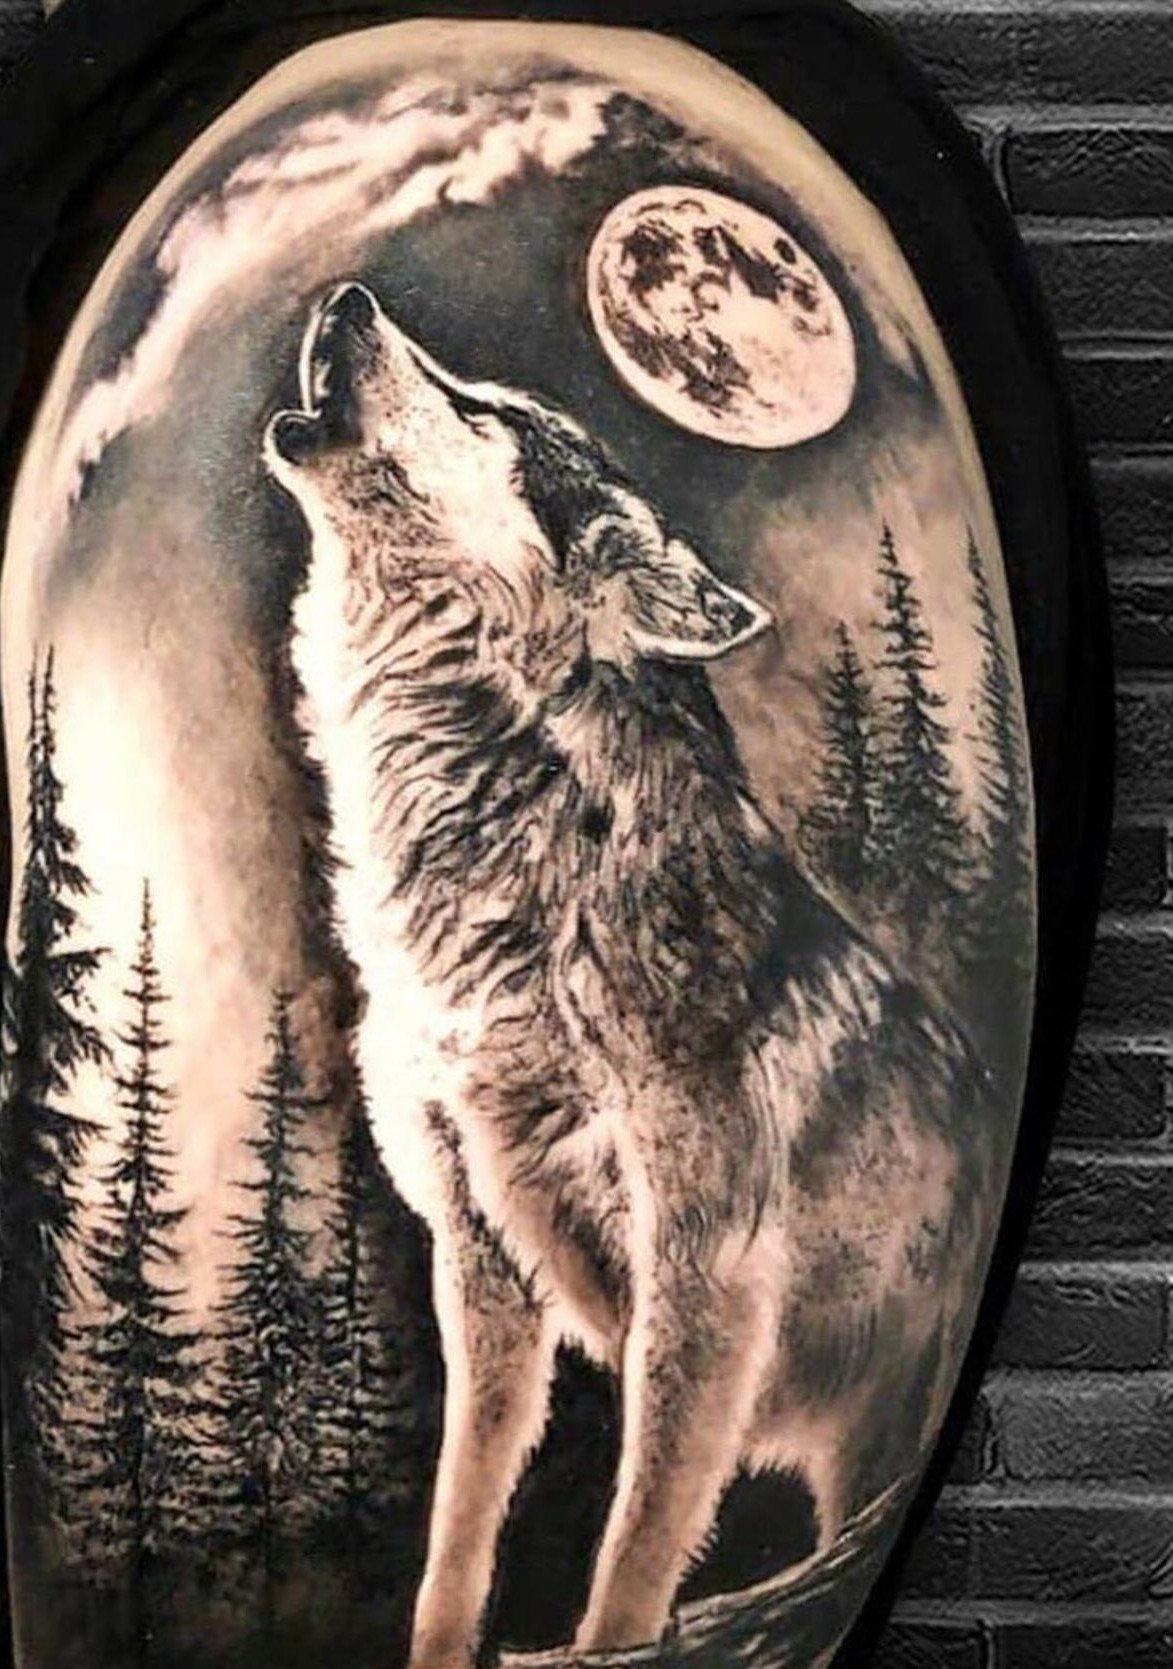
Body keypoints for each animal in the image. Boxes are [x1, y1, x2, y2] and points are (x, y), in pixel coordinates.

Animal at [263, 281, 1001, 1669]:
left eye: (483, 413)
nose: (347, 294)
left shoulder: (708, 1265)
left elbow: (642, 1528)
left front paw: (613, 1639)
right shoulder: (478, 1252)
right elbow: (461, 1519)